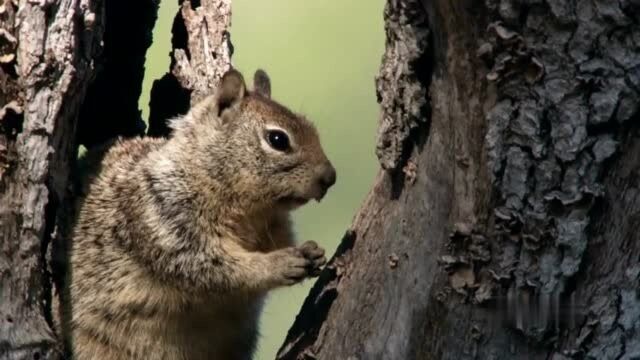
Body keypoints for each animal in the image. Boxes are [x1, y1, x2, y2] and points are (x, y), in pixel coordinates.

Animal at [65, 68, 338, 360]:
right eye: (278, 140)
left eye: (311, 127)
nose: (329, 178)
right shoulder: (167, 223)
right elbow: (216, 269)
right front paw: (280, 263)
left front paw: (312, 252)